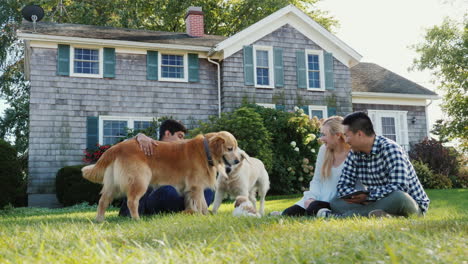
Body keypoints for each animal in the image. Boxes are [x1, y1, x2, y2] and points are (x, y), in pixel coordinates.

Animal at [81, 131, 241, 222]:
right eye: (230, 148)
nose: (238, 161)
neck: (205, 150)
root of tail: (117, 147)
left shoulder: (196, 187)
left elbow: (199, 203)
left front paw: (202, 215)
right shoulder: (196, 186)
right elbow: (200, 203)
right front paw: (202, 216)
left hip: (112, 184)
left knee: (103, 201)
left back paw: (99, 220)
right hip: (140, 180)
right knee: (132, 201)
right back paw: (136, 219)